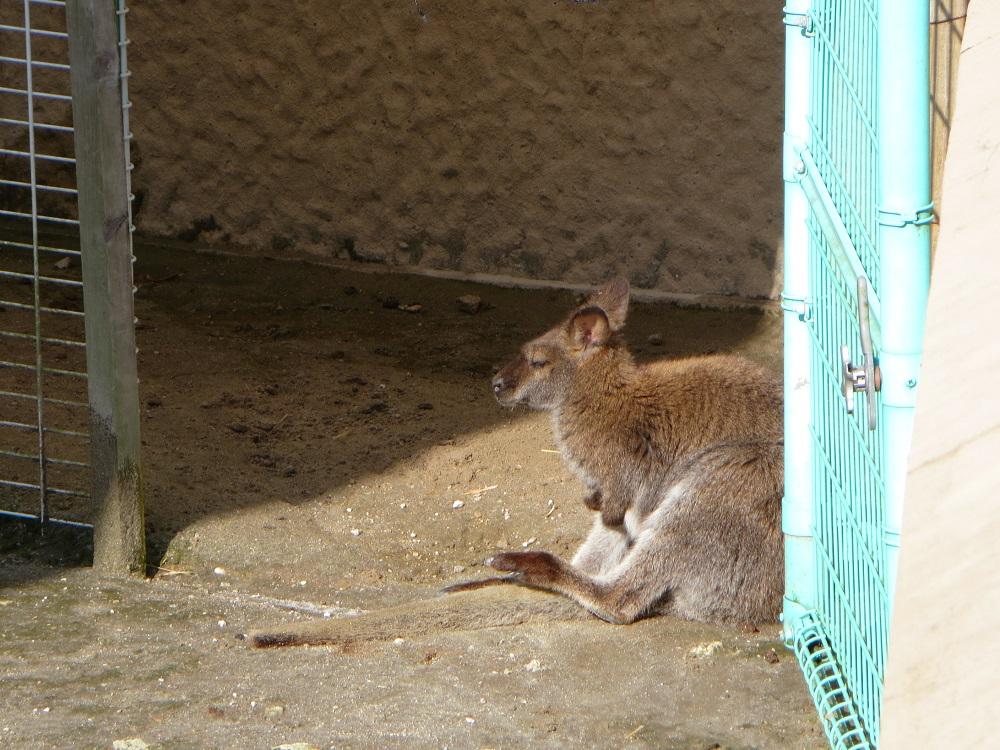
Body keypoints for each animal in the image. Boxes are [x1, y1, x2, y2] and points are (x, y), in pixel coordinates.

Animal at [248, 278, 783, 647]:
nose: (496, 385)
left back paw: (527, 567)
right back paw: (492, 579)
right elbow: (608, 516)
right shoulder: (612, 490)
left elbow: (617, 505)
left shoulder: (624, 469)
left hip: (727, 480)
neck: (595, 396)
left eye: (537, 362)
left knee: (620, 601)